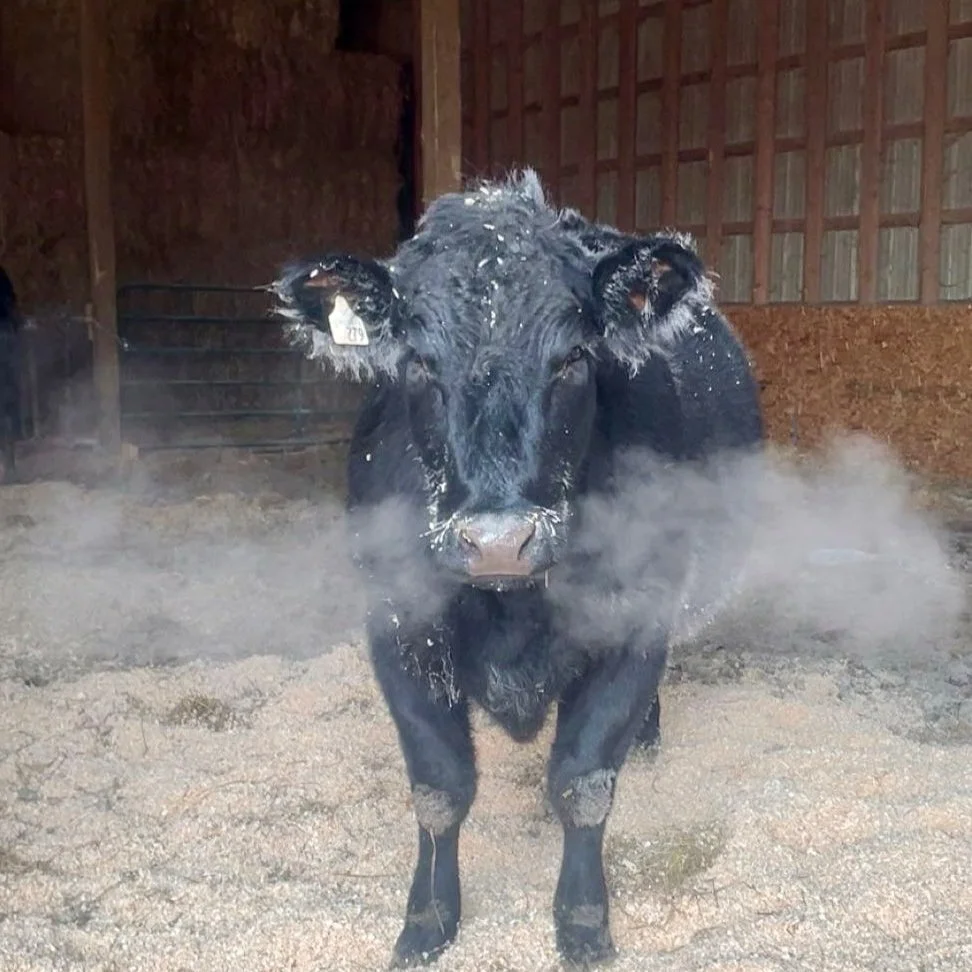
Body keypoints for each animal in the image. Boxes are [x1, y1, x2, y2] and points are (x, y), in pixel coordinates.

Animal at [273, 171, 764, 968]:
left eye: (573, 359)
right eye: (417, 361)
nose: (499, 540)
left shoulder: (635, 615)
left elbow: (585, 783)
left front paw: (584, 922)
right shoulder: (399, 626)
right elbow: (439, 788)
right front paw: (427, 919)